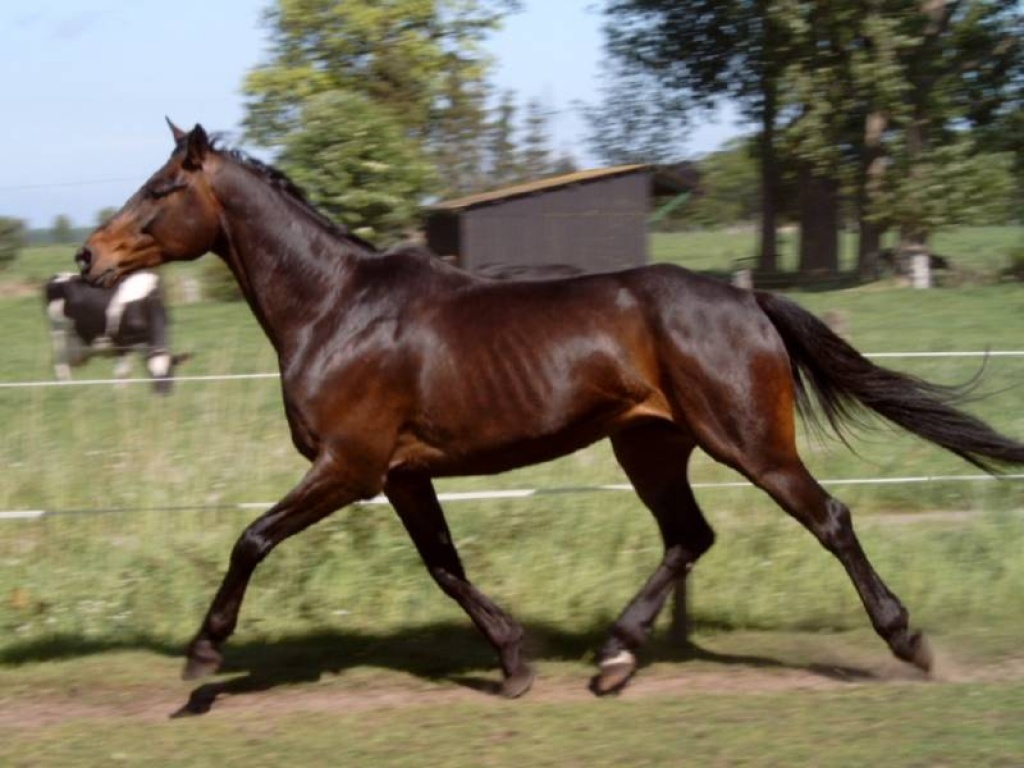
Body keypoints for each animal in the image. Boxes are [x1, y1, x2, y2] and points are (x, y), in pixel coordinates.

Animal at [75, 121, 1024, 697]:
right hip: (649, 446)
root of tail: (747, 300)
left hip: (748, 442)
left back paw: (906, 641)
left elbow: (252, 538)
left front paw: (204, 652)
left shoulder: (347, 466)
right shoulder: (400, 474)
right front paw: (513, 658)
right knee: (689, 536)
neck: (336, 308)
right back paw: (615, 655)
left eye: (161, 187)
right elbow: (445, 565)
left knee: (828, 518)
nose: (88, 257)